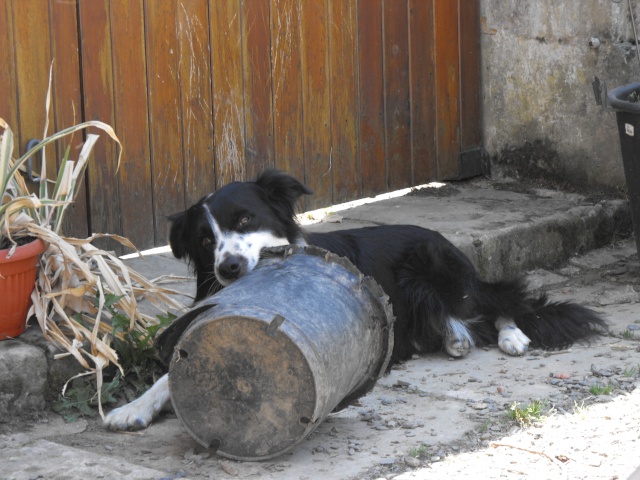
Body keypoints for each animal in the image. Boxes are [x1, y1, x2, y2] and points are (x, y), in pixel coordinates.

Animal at [104, 170, 604, 432]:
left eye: (245, 219)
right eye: (206, 240)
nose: (228, 268)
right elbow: (170, 373)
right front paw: (133, 408)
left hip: (434, 273)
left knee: (500, 300)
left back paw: (511, 336)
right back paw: (456, 339)